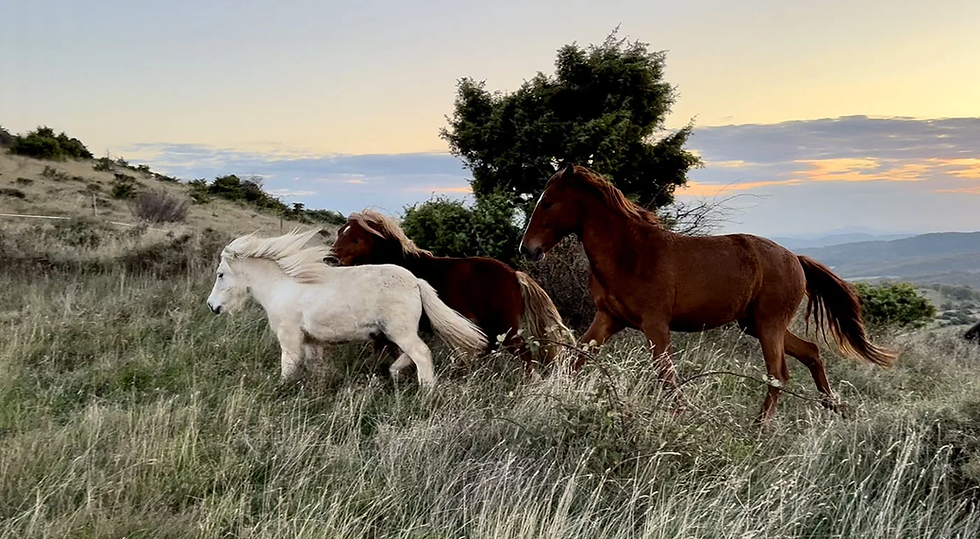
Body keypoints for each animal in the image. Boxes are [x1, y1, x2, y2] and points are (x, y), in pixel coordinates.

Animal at [206, 228, 487, 387]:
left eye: (220, 274)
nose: (211, 306)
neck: (282, 286)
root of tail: (415, 282)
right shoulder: (312, 342)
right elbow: (315, 367)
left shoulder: (290, 338)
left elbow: (289, 366)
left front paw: (281, 389)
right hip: (401, 331)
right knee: (417, 352)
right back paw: (395, 372)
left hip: (400, 331)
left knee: (422, 354)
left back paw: (426, 391)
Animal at [329, 210, 573, 371]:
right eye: (340, 232)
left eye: (357, 238)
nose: (330, 259)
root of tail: (514, 274)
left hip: (506, 329)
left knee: (524, 357)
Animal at [519, 164, 898, 426]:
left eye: (548, 202)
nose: (527, 250)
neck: (631, 253)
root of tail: (795, 259)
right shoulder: (609, 318)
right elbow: (577, 358)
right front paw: (549, 395)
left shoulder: (655, 326)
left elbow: (666, 376)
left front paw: (681, 417)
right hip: (756, 325)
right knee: (811, 352)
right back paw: (834, 407)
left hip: (769, 325)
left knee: (779, 374)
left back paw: (760, 428)